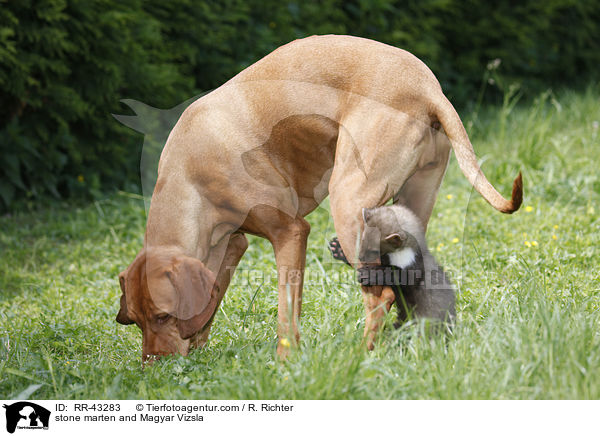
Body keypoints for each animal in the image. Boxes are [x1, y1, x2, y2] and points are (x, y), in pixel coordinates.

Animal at [117, 35, 520, 362]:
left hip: (349, 203)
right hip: (408, 208)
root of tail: (427, 87)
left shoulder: (290, 232)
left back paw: (359, 355)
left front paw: (286, 363)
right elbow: (211, 301)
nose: (154, 366)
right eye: (135, 321)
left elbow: (286, 311)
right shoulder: (232, 244)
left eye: (163, 316)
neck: (189, 175)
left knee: (380, 296)